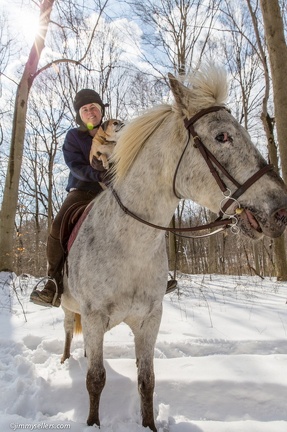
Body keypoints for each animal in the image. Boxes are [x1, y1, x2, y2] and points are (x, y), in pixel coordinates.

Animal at [60, 65, 287, 432]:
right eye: (222, 136)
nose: (282, 210)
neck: (130, 247)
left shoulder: (151, 319)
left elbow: (146, 382)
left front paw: (149, 424)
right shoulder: (94, 317)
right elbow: (95, 380)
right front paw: (92, 423)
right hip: (70, 307)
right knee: (68, 332)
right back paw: (65, 361)